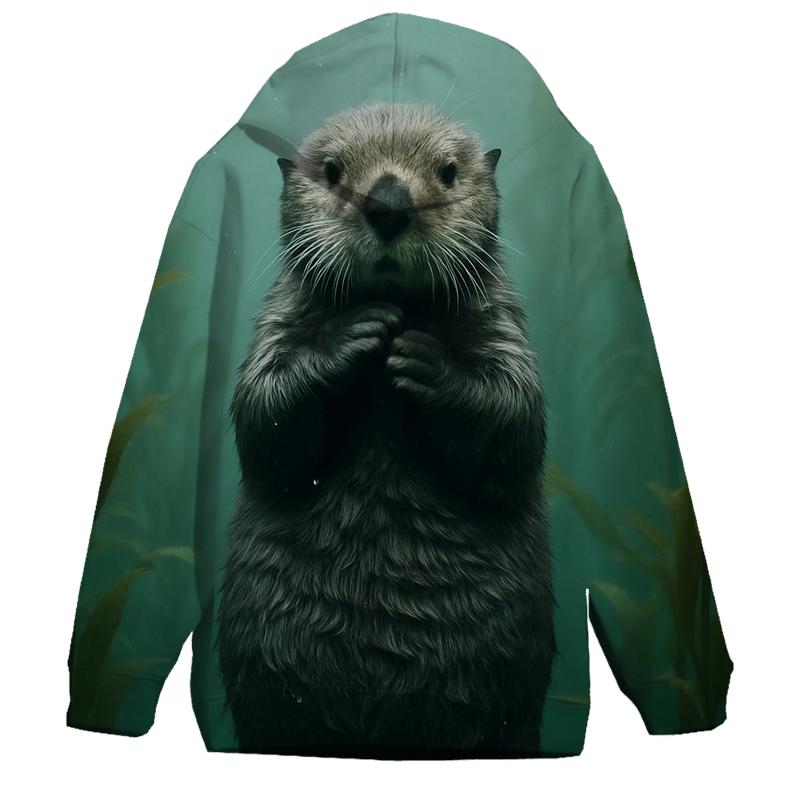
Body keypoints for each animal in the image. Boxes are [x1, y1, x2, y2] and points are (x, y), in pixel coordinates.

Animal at [216, 102, 556, 758]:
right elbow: (265, 423)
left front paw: (422, 356)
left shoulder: (504, 326)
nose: (388, 203)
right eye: (332, 171)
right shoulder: (277, 319)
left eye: (448, 171)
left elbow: (513, 426)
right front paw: (357, 332)